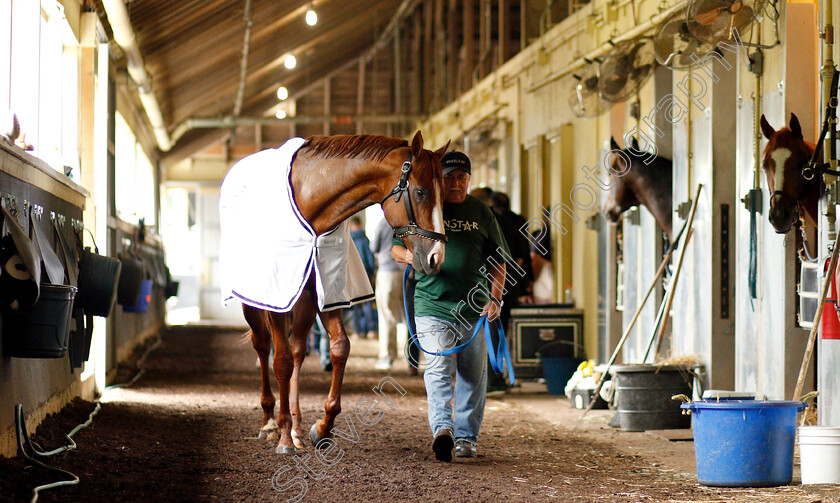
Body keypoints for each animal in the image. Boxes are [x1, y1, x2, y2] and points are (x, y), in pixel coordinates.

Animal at [220, 132, 450, 454]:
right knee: (264, 346)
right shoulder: (277, 296)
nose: (436, 257)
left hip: (304, 301)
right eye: (420, 192)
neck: (311, 203)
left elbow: (339, 348)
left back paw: (296, 426)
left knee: (297, 349)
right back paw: (270, 423)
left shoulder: (328, 293)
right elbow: (280, 361)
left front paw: (321, 428)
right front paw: (282, 436)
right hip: (255, 302)